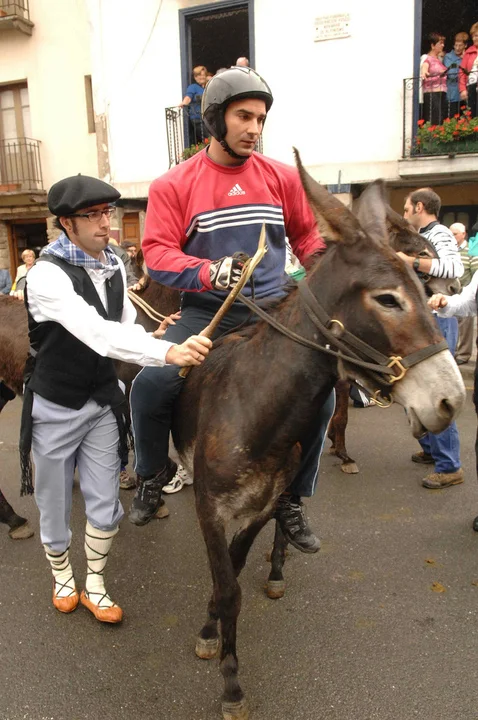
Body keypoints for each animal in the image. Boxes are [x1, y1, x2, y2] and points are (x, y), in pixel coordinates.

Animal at [170, 153, 466, 720]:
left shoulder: (260, 506)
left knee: (285, 524)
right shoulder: (210, 509)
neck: (252, 406)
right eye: (388, 299)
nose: (451, 402)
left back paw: (280, 567)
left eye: (424, 290)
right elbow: (226, 583)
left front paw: (218, 635)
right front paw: (225, 667)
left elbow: (233, 571)